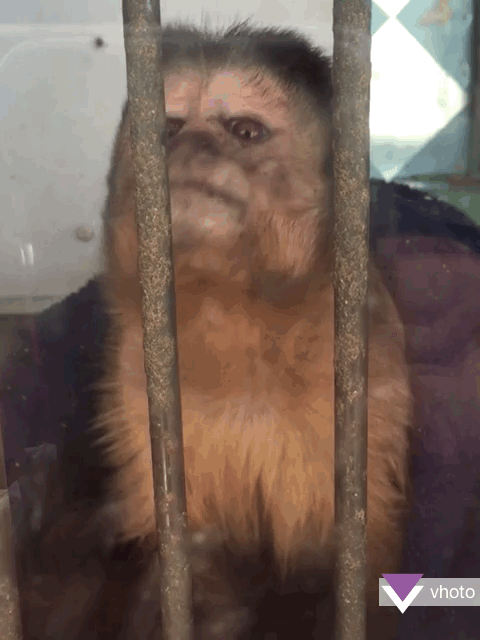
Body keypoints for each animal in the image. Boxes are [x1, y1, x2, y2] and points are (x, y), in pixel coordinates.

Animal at [14, 23, 412, 640]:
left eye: (244, 131)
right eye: (169, 128)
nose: (189, 148)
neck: (234, 320)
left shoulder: (369, 370)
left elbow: (338, 572)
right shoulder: (132, 380)